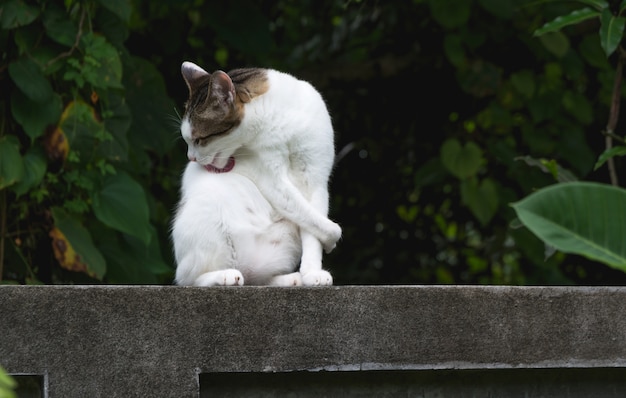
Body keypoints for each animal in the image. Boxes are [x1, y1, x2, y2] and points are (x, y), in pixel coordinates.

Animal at [169, 62, 342, 286]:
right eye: (189, 140)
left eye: (200, 139)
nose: (191, 158)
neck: (281, 122)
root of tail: (246, 269)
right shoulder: (273, 181)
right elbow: (323, 223)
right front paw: (332, 240)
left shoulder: (315, 179)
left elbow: (313, 229)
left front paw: (312, 273)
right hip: (207, 211)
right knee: (188, 278)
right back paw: (225, 276)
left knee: (260, 279)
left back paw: (291, 279)